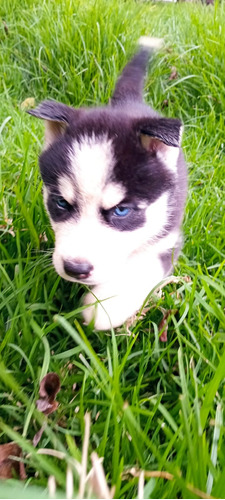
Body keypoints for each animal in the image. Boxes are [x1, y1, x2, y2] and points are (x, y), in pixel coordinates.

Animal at [27, 37, 186, 330]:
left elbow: (144, 266)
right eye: (61, 203)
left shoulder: (167, 236)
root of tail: (128, 102)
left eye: (121, 211)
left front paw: (105, 305)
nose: (75, 269)